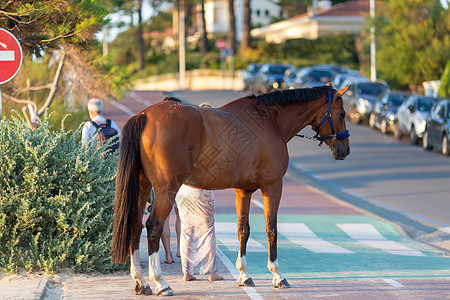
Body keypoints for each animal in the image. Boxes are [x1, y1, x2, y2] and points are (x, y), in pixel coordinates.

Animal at [110, 83, 350, 296]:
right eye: (342, 113)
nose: (344, 150)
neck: (268, 121)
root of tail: (144, 115)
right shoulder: (273, 186)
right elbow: (271, 230)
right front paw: (277, 276)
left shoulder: (243, 191)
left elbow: (243, 229)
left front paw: (244, 275)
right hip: (165, 191)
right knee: (153, 227)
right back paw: (160, 283)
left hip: (143, 187)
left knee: (135, 226)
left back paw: (141, 283)